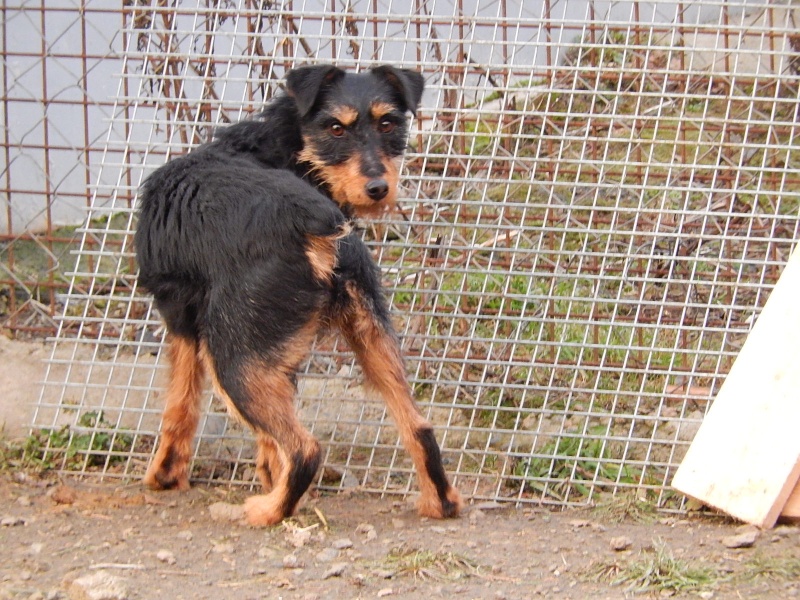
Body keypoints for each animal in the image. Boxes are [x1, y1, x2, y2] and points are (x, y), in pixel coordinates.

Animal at [134, 64, 462, 524]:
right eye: (335, 128)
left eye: (387, 123)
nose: (378, 188)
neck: (276, 148)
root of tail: (317, 221)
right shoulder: (273, 357)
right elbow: (260, 441)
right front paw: (264, 474)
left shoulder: (179, 316)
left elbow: (180, 402)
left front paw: (165, 474)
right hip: (370, 338)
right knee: (419, 427)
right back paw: (440, 503)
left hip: (232, 359)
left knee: (305, 449)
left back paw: (269, 511)